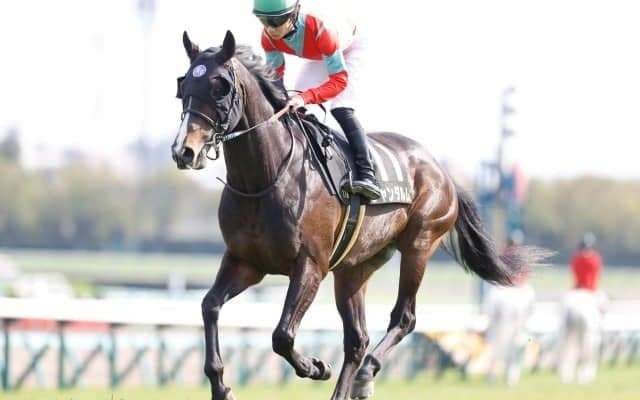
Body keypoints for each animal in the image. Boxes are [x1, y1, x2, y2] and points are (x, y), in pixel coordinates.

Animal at [171, 30, 549, 400]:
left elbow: (282, 335)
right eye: (183, 85)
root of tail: (442, 171)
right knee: (357, 338)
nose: (183, 151)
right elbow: (209, 305)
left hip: (419, 245)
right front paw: (221, 386)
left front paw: (315, 367)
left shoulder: (310, 265)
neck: (266, 177)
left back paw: (367, 375)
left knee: (404, 318)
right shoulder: (245, 261)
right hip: (355, 268)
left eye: (220, 87)